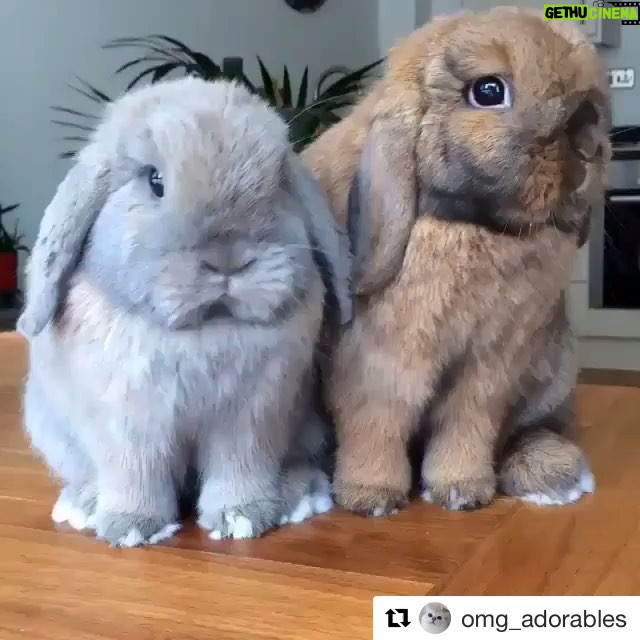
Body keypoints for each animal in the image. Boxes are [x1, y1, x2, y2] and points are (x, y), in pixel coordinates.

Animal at [17, 75, 352, 546]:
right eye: (154, 180)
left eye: (279, 183)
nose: (228, 260)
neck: (204, 330)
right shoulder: (129, 427)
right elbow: (135, 475)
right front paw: (131, 527)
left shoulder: (252, 422)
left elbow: (240, 471)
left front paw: (242, 519)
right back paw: (84, 505)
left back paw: (298, 496)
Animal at [302, 7, 610, 515]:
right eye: (488, 91)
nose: (590, 141)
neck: (475, 225)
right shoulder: (378, 365)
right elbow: (376, 424)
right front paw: (372, 498)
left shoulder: (489, 368)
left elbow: (468, 423)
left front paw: (462, 491)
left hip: (554, 370)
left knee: (535, 428)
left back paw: (551, 473)